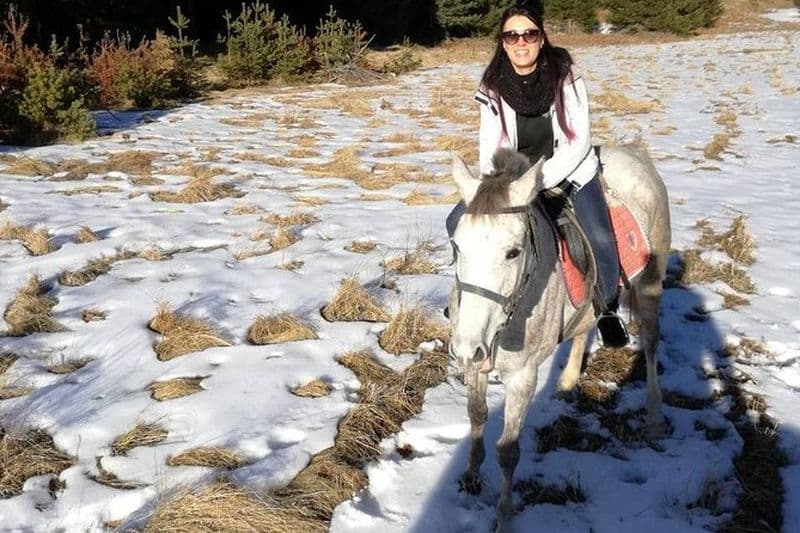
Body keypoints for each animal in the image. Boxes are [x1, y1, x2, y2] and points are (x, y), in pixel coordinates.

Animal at [447, 144, 671, 532]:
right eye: (458, 246)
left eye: (513, 252)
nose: (464, 346)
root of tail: (634, 153)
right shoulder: (476, 363)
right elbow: (476, 416)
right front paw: (470, 475)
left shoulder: (523, 377)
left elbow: (508, 450)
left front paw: (503, 517)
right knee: (585, 328)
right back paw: (566, 383)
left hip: (650, 284)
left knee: (652, 344)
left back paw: (654, 417)